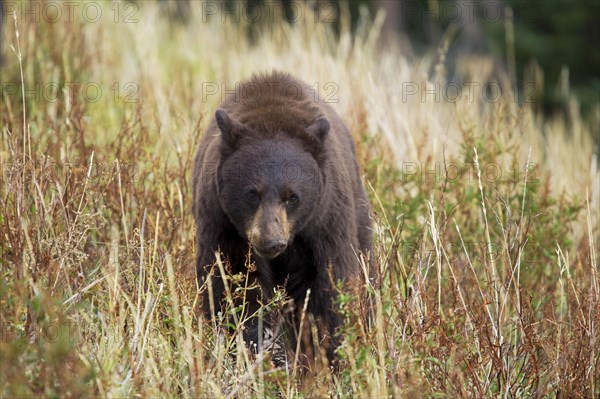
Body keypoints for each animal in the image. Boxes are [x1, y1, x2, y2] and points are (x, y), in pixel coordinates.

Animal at [193, 71, 370, 366]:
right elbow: (230, 286)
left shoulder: (325, 220)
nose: (271, 241)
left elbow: (332, 285)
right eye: (252, 193)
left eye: (293, 197)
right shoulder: (223, 223)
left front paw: (325, 355)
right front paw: (248, 347)